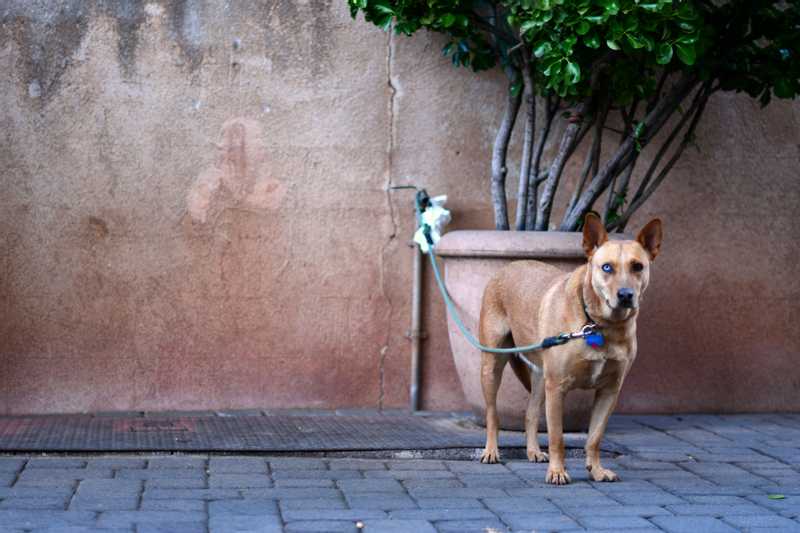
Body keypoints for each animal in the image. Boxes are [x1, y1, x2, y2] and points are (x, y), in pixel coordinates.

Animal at [478, 212, 660, 482]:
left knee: (531, 414)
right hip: (493, 366)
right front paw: (557, 472)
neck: (598, 325)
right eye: (607, 267)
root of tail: (510, 265)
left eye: (638, 266)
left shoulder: (609, 391)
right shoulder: (557, 388)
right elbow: (557, 438)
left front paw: (597, 470)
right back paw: (491, 451)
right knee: (492, 414)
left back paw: (533, 451)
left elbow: (594, 438)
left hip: (540, 377)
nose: (626, 295)